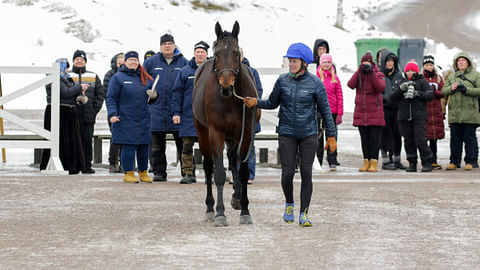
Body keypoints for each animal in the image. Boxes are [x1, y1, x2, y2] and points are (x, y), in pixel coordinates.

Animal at [191, 21, 260, 226]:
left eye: (236, 53)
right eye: (217, 53)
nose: (226, 86)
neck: (230, 100)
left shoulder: (245, 134)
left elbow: (242, 171)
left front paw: (245, 209)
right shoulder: (216, 133)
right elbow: (219, 174)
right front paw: (220, 213)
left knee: (232, 158)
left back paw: (237, 196)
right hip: (203, 132)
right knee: (208, 167)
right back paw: (209, 208)